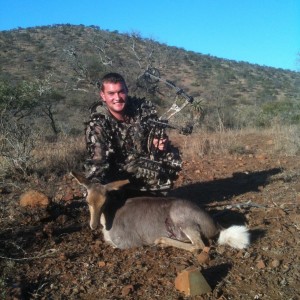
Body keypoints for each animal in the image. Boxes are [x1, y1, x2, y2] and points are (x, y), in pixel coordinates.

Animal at [71, 171, 250, 253]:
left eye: (104, 201)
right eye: (87, 201)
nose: (93, 225)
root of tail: (215, 225)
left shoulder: (128, 243)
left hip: (182, 220)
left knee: (198, 246)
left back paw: (161, 240)